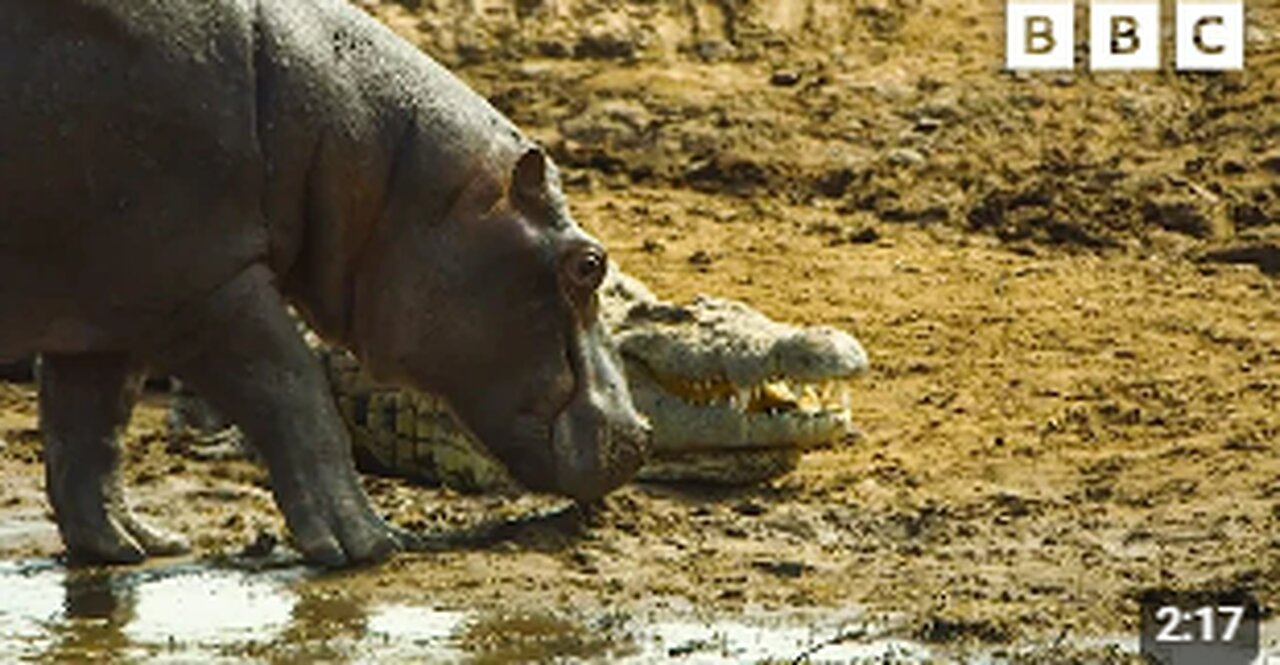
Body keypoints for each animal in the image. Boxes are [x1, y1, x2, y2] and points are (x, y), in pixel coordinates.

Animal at [0, 0, 650, 565]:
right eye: (589, 264)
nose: (641, 433)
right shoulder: (205, 284)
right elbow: (294, 391)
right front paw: (371, 544)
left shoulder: (109, 302)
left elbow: (90, 430)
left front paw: (136, 544)